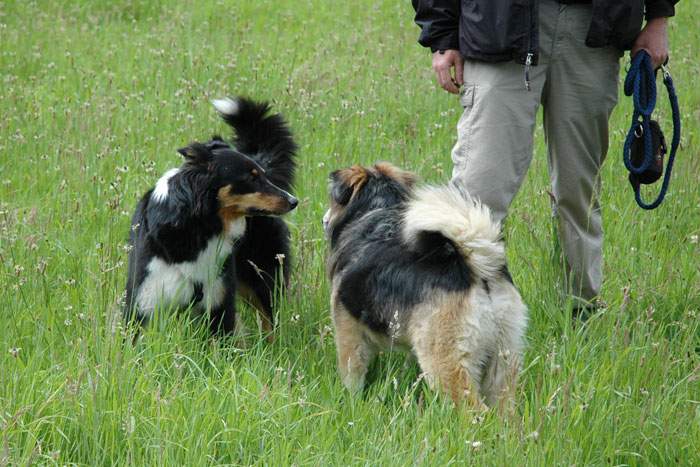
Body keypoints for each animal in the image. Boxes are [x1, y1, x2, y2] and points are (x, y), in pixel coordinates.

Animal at [124, 97, 296, 338]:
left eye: (262, 175)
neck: (197, 227)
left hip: (262, 275)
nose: (293, 201)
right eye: (250, 178)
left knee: (268, 320)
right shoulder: (143, 301)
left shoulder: (219, 302)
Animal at [322, 164, 524, 410]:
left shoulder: (347, 331)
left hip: (446, 360)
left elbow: (352, 374)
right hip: (503, 360)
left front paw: (351, 403)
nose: (323, 219)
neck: (376, 211)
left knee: (474, 409)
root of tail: (475, 269)